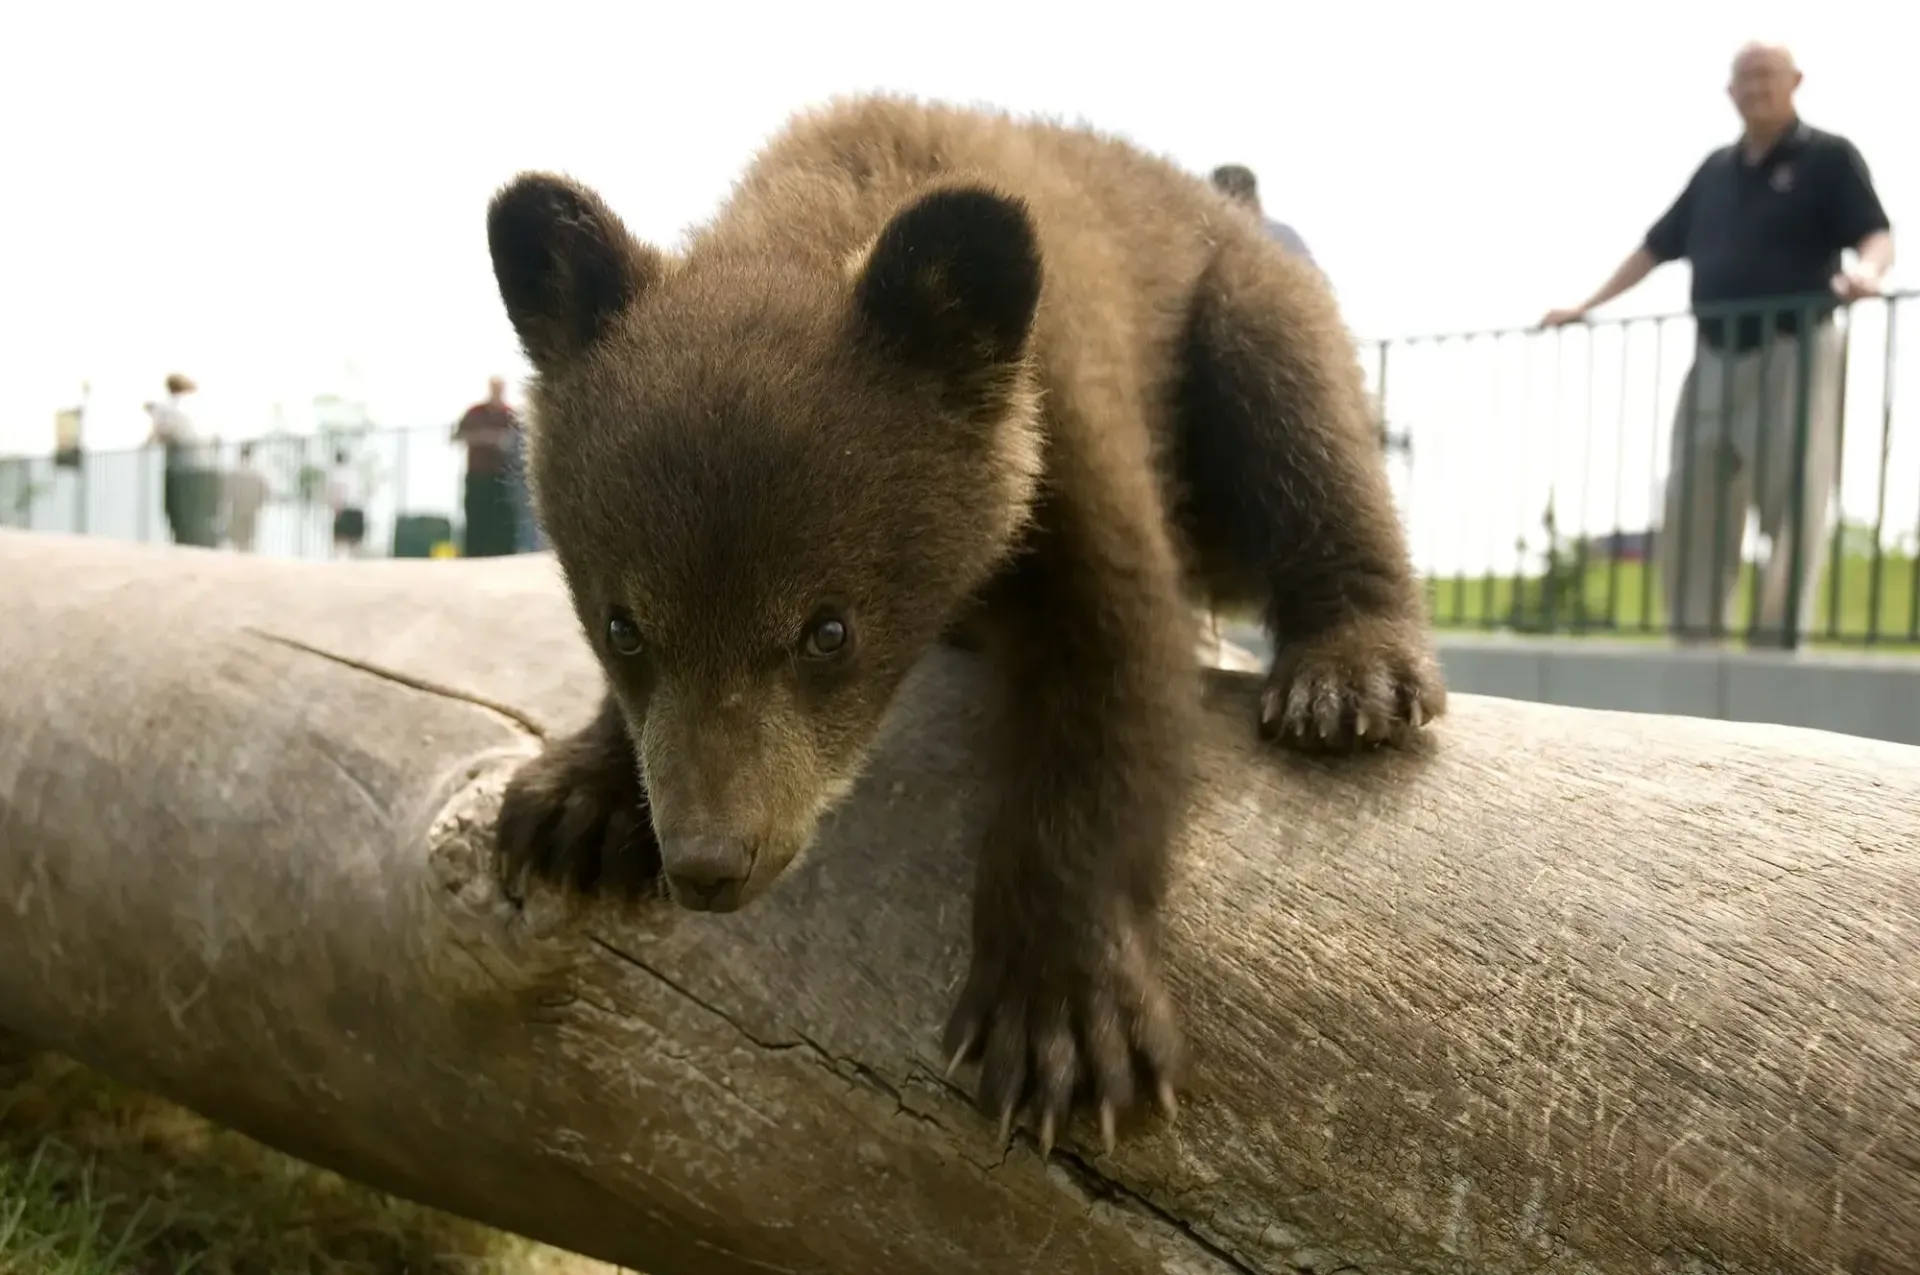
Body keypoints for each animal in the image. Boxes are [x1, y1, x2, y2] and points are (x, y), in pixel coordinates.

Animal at [485, 93, 1445, 1155]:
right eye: (622, 627)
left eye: (830, 630)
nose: (709, 861)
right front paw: (571, 800)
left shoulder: (1069, 415)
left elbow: (1117, 669)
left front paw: (1062, 1024)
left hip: (1243, 304)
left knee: (1301, 413)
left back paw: (1347, 680)